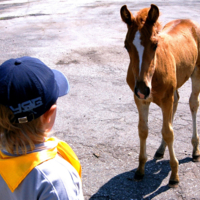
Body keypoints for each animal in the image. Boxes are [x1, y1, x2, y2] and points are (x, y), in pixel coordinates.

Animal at [120, 3, 200, 188]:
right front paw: (140, 170)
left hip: (196, 73)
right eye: (126, 46)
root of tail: (189, 21)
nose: (143, 89)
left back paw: (195, 150)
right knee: (176, 104)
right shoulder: (140, 100)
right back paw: (161, 150)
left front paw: (174, 175)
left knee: (193, 103)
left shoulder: (165, 99)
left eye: (155, 45)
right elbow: (143, 130)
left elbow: (169, 132)